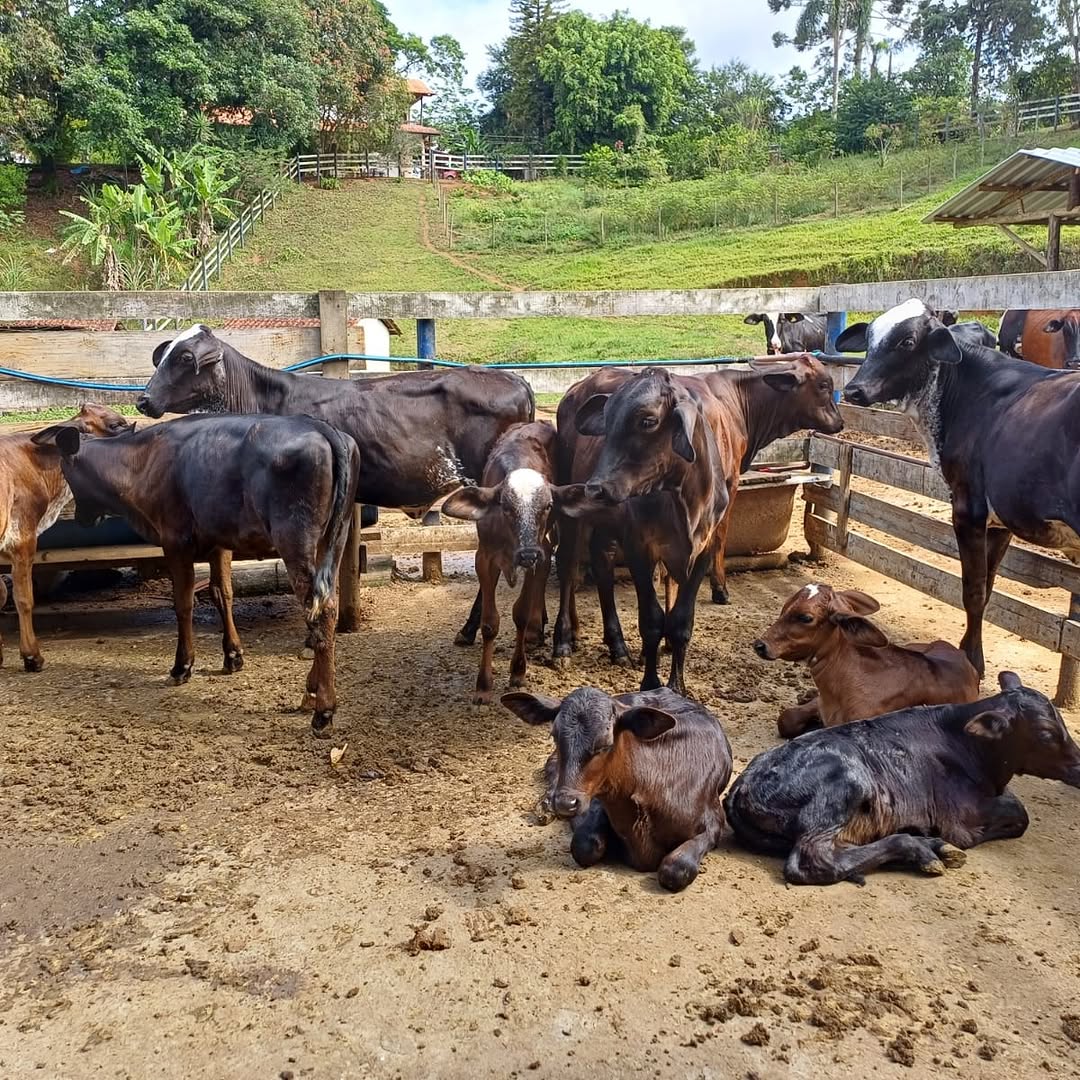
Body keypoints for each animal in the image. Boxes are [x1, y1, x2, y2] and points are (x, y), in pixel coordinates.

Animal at [35, 410, 360, 734]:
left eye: (66, 472)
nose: (81, 519)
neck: (141, 462)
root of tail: (321, 427)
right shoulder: (219, 542)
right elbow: (222, 593)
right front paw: (232, 655)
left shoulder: (175, 541)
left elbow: (183, 603)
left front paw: (182, 665)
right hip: (334, 537)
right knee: (324, 603)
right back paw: (313, 687)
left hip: (294, 536)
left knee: (320, 610)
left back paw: (324, 709)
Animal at [438, 416, 574, 704]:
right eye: (506, 506)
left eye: (547, 506)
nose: (527, 554)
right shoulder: (485, 558)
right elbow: (490, 623)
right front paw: (483, 685)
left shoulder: (538, 552)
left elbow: (520, 613)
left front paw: (518, 672)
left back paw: (534, 627)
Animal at [721, 673, 1080, 885]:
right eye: (1047, 733)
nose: (1079, 765)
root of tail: (740, 787)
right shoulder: (960, 818)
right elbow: (1018, 814)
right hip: (845, 785)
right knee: (813, 860)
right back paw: (920, 848)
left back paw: (927, 845)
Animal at [838, 298, 1080, 673]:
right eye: (869, 339)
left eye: (908, 341)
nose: (853, 389)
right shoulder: (1000, 519)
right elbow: (988, 586)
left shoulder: (968, 508)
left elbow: (974, 591)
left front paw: (972, 661)